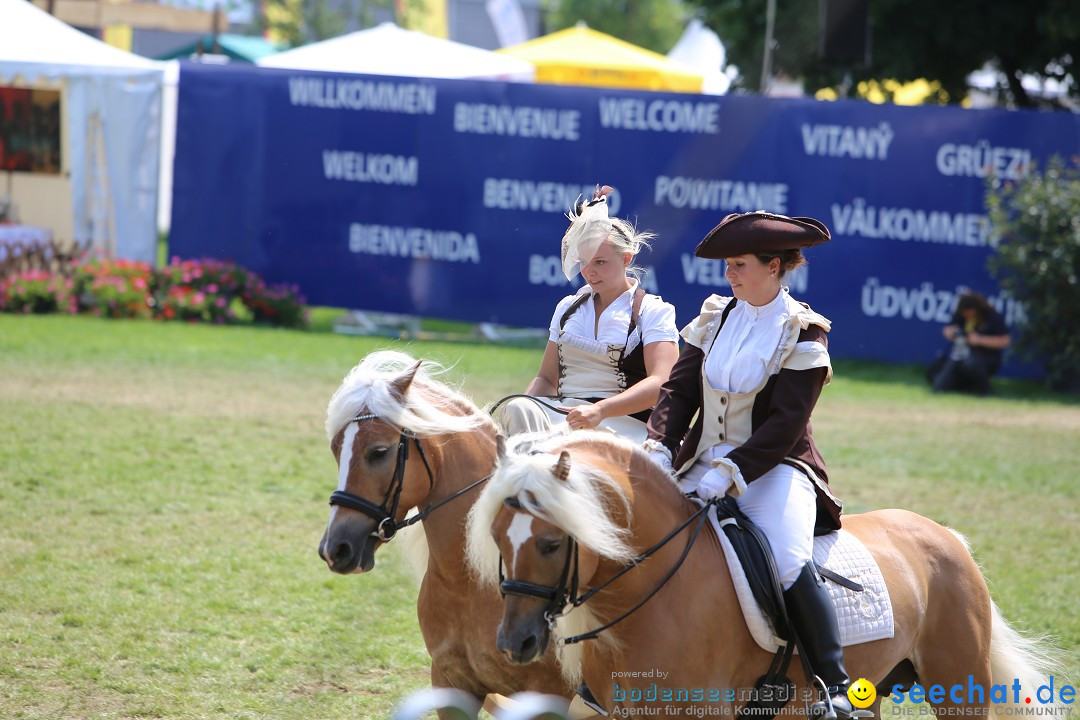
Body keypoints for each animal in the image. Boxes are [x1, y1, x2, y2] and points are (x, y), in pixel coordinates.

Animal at [315, 349, 578, 716]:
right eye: (336, 449)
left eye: (379, 452)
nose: (334, 549)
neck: (468, 580)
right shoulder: (450, 682)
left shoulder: (549, 696)